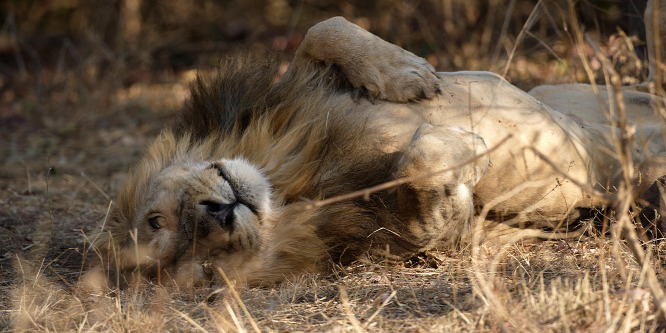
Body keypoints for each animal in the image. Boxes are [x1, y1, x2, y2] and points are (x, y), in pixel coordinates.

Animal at [88, 3, 664, 286]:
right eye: (203, 264)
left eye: (156, 220)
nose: (220, 213)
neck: (293, 179)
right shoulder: (437, 237)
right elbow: (423, 171)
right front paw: (462, 151)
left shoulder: (298, 91)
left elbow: (324, 28)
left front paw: (409, 75)